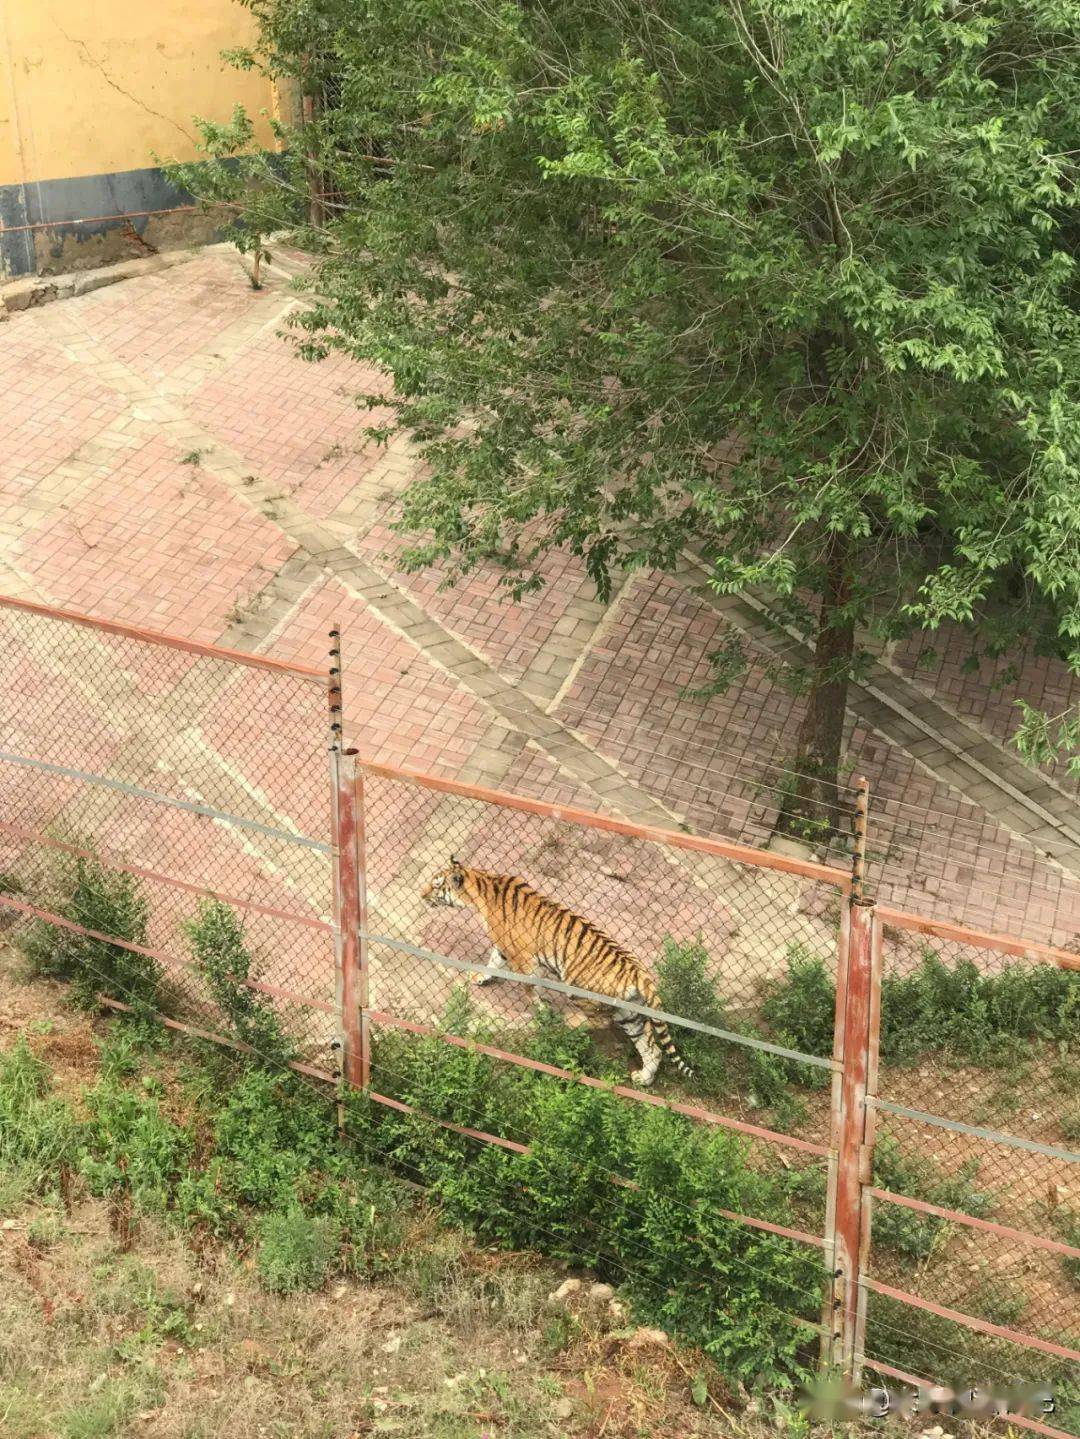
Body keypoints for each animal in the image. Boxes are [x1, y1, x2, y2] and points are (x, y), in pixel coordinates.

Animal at [417, 857, 696, 1082]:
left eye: (436, 885)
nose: (421, 894)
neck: (483, 887)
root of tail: (638, 972)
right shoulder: (507, 948)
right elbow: (494, 962)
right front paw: (481, 977)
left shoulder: (523, 957)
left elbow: (529, 985)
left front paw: (540, 1008)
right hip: (630, 1013)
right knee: (652, 1046)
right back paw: (644, 1078)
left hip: (584, 993)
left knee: (601, 1024)